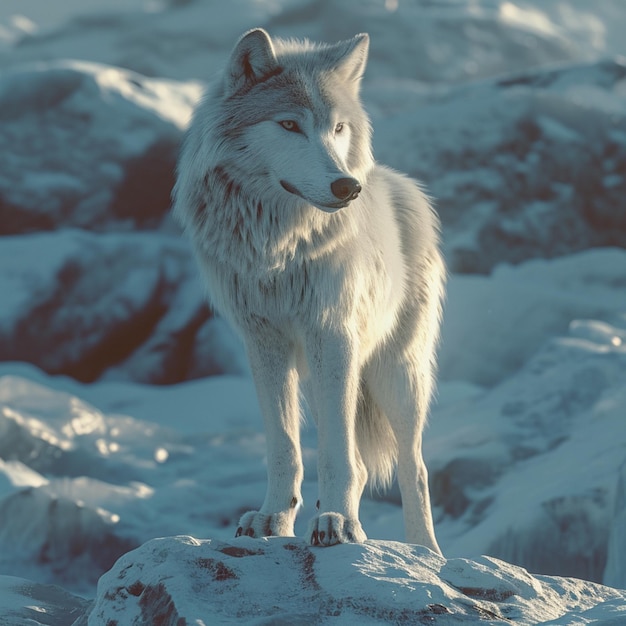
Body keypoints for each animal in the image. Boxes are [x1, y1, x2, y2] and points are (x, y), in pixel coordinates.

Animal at [172, 28, 444, 552]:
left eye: (337, 128)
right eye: (289, 125)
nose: (347, 187)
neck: (279, 247)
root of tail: (400, 183)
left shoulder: (332, 332)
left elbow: (336, 456)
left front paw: (338, 523)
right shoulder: (263, 341)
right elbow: (285, 446)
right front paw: (273, 518)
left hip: (394, 374)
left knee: (412, 467)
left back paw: (425, 550)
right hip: (324, 378)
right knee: (361, 463)